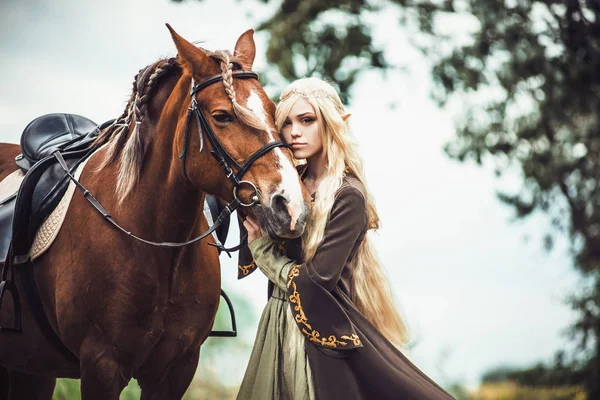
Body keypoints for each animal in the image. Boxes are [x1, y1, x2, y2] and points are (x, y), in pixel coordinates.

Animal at [0, 26, 310, 398]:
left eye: (272, 110)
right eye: (221, 116)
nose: (291, 206)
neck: (156, 245)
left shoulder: (175, 371)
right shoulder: (101, 366)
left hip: (32, 369)